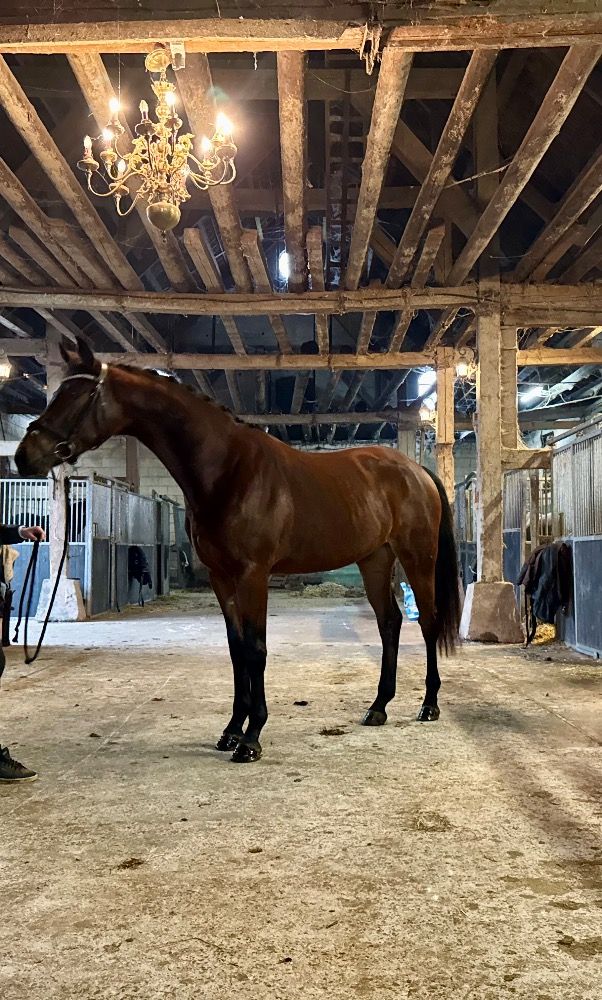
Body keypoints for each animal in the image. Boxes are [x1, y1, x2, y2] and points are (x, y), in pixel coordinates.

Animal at [15, 337, 461, 764]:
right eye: (56, 392)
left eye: (78, 396)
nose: (24, 457)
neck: (228, 470)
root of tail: (417, 471)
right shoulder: (221, 576)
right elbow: (236, 649)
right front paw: (231, 729)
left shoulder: (253, 574)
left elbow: (256, 648)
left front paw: (252, 738)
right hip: (375, 560)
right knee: (390, 623)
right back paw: (378, 707)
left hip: (417, 559)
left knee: (428, 622)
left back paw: (429, 704)